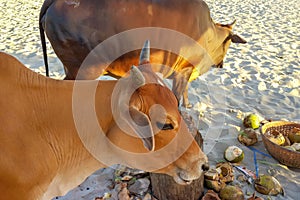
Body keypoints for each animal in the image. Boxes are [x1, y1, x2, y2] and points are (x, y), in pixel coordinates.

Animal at [39, 0, 246, 107]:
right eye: (229, 43)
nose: (221, 64)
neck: (209, 33)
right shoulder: (183, 71)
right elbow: (178, 96)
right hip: (83, 71)